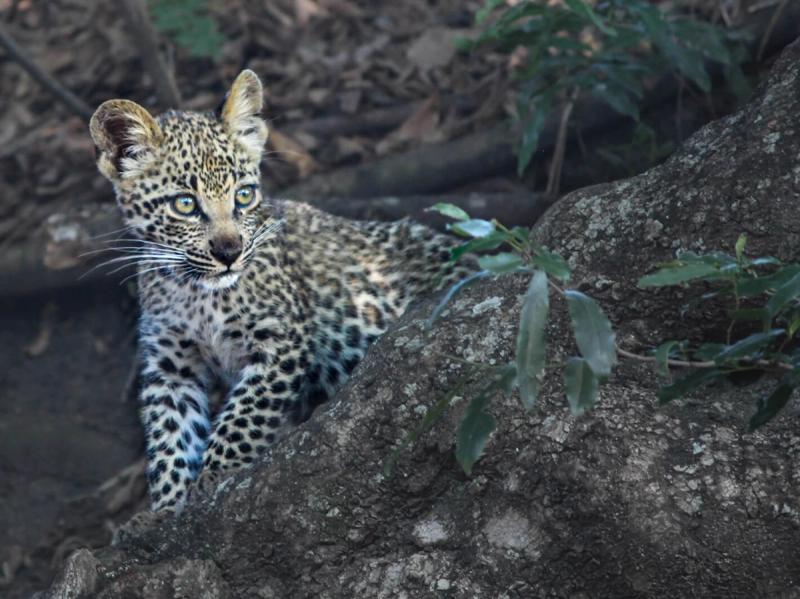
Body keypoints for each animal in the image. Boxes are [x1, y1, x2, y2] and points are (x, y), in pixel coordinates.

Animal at [89, 69, 473, 512]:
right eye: (185, 204)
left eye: (243, 195)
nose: (229, 253)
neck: (196, 292)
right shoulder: (170, 363)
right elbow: (170, 435)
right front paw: (167, 507)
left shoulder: (282, 340)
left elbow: (244, 417)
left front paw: (213, 478)